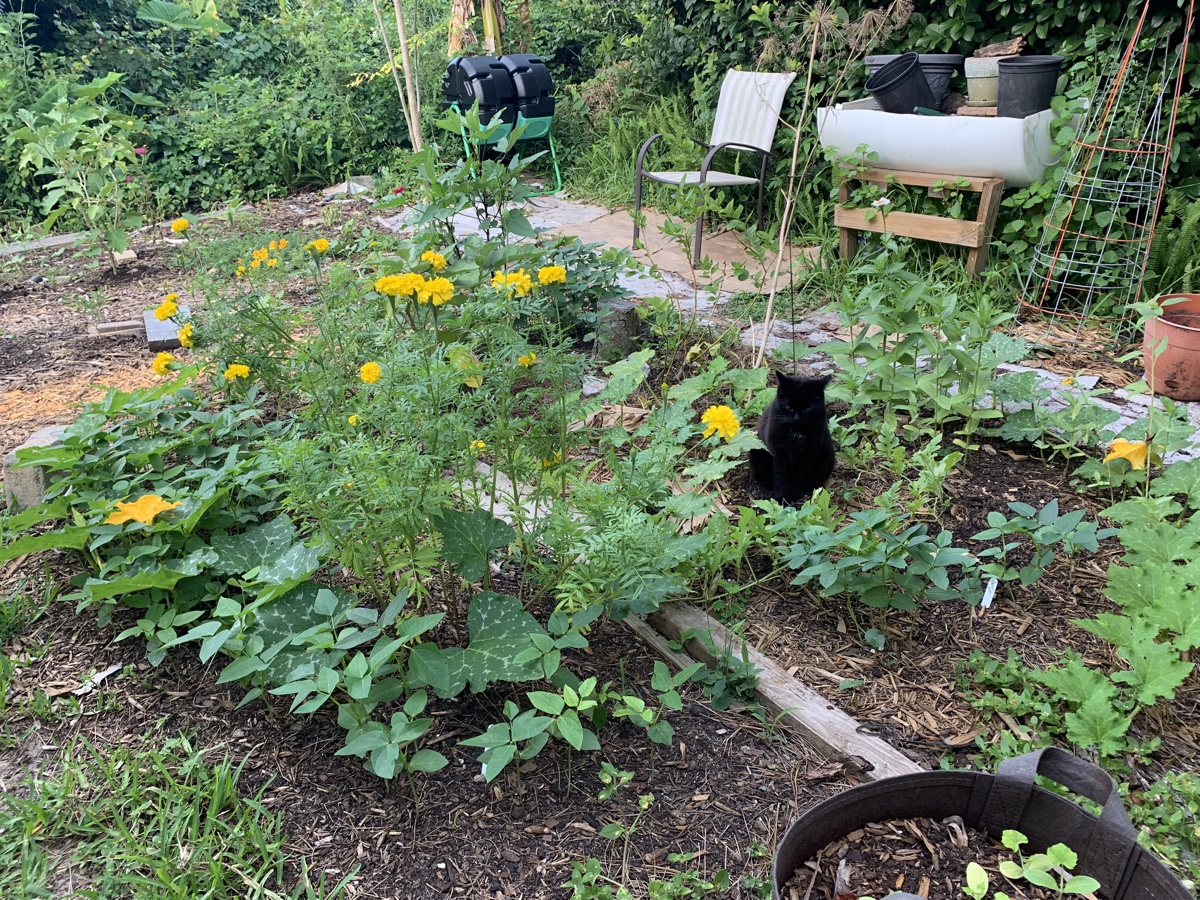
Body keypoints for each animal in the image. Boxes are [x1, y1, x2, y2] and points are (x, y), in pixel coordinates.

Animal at [748, 372, 835, 503]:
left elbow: (798, 477)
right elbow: (780, 477)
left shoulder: (807, 455)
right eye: (788, 406)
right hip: (756, 449)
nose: (796, 418)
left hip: (827, 456)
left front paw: (793, 496)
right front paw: (782, 499)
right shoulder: (777, 452)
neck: (796, 431)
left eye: (807, 408)